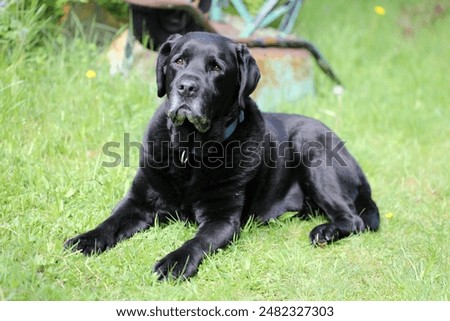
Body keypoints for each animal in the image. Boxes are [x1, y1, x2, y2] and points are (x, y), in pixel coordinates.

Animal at [64, 31, 380, 278]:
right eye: (179, 61)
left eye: (216, 67)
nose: (187, 87)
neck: (190, 151)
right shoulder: (138, 201)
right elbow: (110, 222)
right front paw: (85, 240)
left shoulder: (222, 220)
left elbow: (197, 242)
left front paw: (174, 262)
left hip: (312, 150)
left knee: (353, 220)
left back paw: (324, 232)